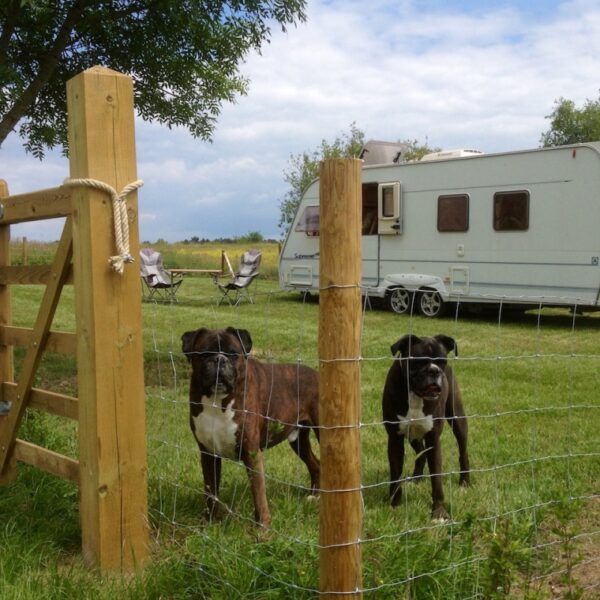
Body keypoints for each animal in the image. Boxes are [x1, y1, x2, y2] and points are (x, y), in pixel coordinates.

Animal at [382, 332, 472, 520]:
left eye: (442, 361)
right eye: (418, 361)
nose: (434, 370)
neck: (416, 395)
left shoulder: (433, 439)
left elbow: (436, 478)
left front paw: (439, 512)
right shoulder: (395, 439)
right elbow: (396, 472)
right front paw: (394, 504)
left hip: (458, 420)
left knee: (463, 451)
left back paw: (464, 482)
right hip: (413, 433)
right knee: (420, 453)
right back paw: (416, 477)